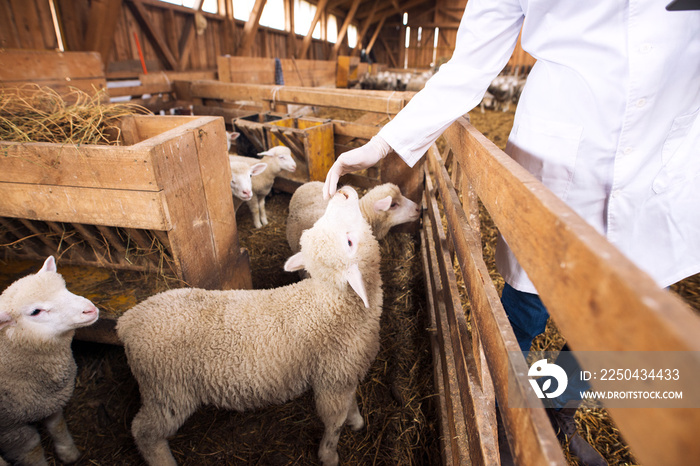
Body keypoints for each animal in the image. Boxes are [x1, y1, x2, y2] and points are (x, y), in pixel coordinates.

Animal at [0, 256, 98, 464]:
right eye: (35, 311)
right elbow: (32, 449)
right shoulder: (10, 429)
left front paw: (68, 453)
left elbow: (57, 425)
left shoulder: (50, 402)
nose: (89, 310)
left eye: (65, 287)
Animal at [118, 186, 386, 466]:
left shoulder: (346, 373)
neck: (332, 302)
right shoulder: (332, 379)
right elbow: (334, 422)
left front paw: (357, 421)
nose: (342, 192)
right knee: (144, 432)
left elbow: (351, 403)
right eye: (349, 243)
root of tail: (128, 321)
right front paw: (329, 455)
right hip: (168, 390)